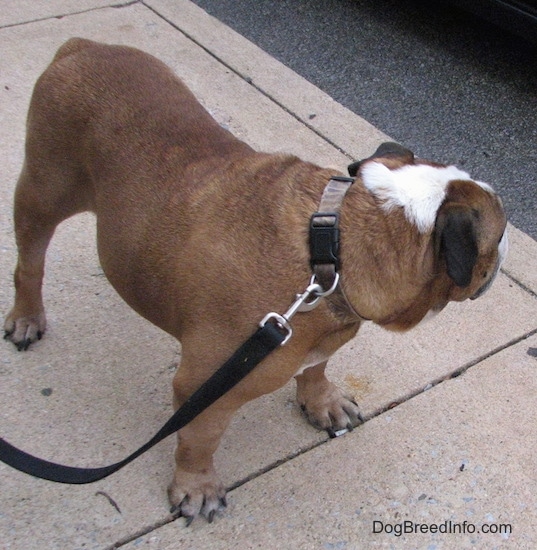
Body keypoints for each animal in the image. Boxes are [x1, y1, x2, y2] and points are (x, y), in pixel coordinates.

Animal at [5, 40, 506, 528]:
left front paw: (321, 400)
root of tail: (82, 46)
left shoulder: (319, 338)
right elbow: (199, 440)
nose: (504, 255)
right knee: (29, 262)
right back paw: (26, 317)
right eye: (499, 238)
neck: (334, 247)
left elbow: (315, 367)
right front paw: (197, 486)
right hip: (43, 192)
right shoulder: (206, 388)